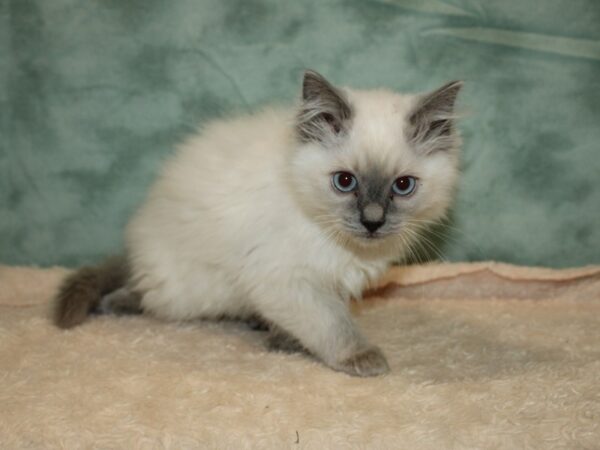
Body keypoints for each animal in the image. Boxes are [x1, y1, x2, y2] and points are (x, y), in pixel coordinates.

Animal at [54, 70, 462, 378]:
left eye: (403, 186)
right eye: (345, 181)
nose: (373, 222)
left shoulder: (324, 280)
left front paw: (283, 339)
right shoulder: (285, 279)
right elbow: (331, 323)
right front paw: (360, 356)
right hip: (191, 290)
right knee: (147, 296)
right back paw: (117, 302)